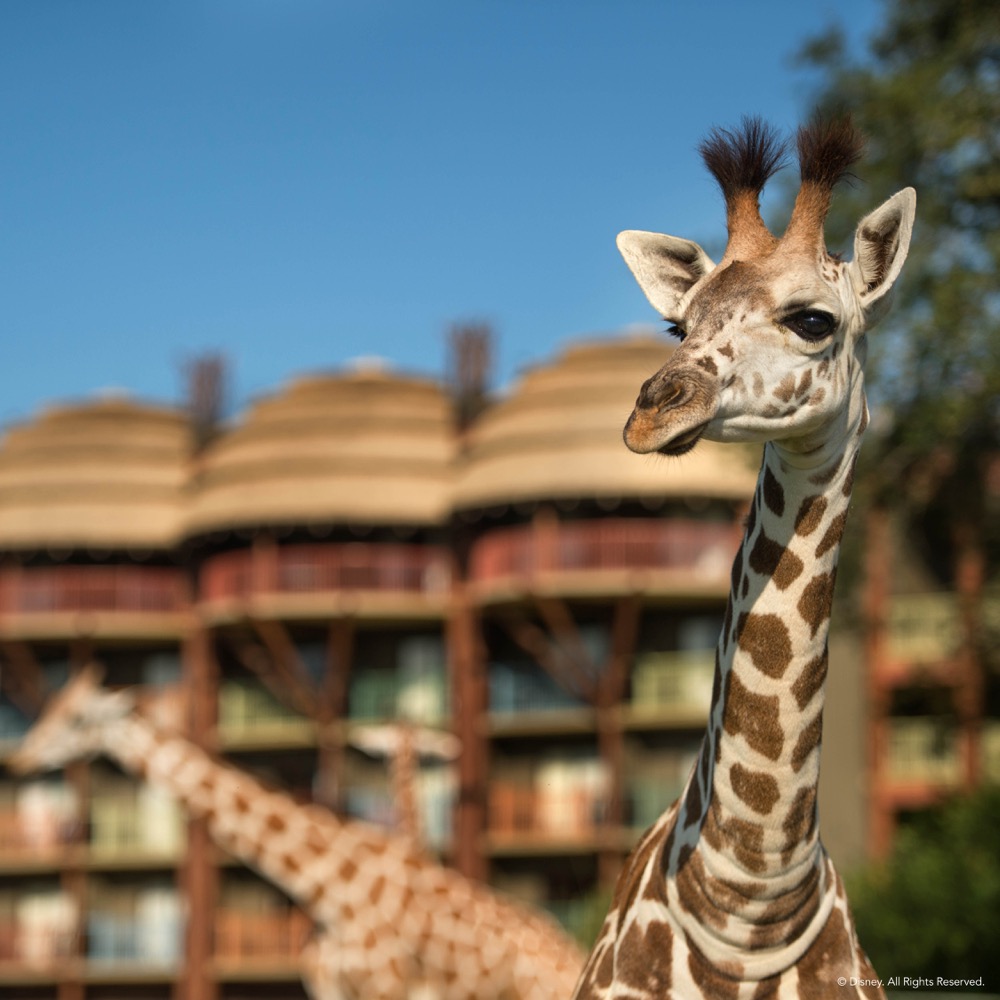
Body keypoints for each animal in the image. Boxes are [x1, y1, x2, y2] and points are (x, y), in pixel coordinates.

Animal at [9, 665, 585, 1000]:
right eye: (52, 708)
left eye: (76, 718)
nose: (20, 758)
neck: (333, 888)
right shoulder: (331, 984)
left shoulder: (386, 983)